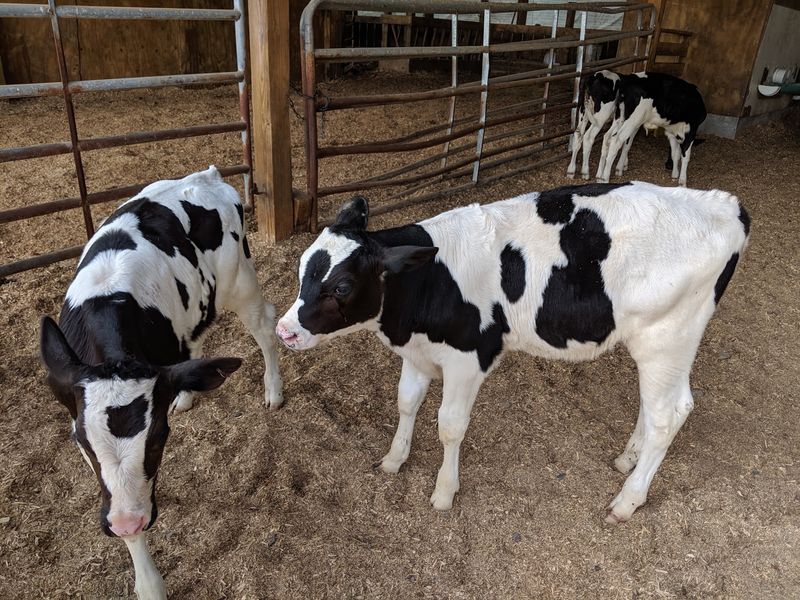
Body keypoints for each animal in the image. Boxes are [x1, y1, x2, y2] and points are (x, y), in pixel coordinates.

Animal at [40, 166, 284, 600]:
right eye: (81, 442)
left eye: (157, 439)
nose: (124, 523)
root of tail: (208, 175)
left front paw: (149, 583)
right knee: (196, 339)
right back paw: (185, 393)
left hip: (240, 281)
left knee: (264, 326)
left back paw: (273, 389)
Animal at [276, 182, 749, 524]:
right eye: (302, 269)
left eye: (342, 286)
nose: (284, 330)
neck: (430, 282)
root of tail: (723, 205)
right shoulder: (417, 352)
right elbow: (407, 402)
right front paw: (394, 459)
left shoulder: (469, 358)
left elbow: (449, 426)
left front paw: (444, 491)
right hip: (667, 345)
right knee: (661, 408)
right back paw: (627, 460)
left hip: (666, 338)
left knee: (668, 414)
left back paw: (627, 500)